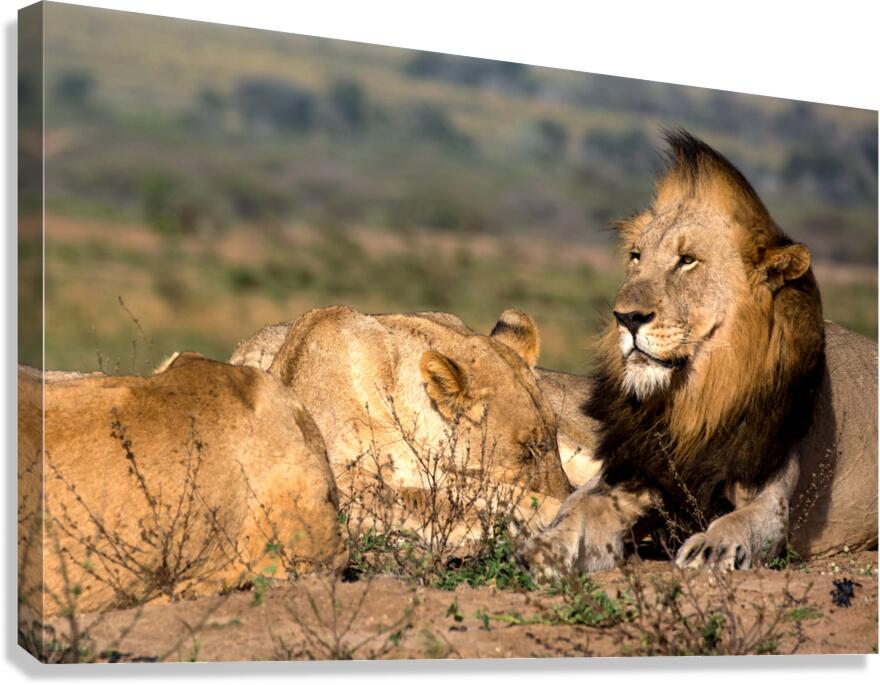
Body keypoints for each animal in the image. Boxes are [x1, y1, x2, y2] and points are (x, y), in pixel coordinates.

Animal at [523, 129, 878, 577]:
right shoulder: (631, 474)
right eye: (636, 256)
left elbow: (740, 521)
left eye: (687, 261)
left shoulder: (770, 493)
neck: (693, 400)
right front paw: (543, 548)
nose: (626, 317)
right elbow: (576, 508)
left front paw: (711, 549)